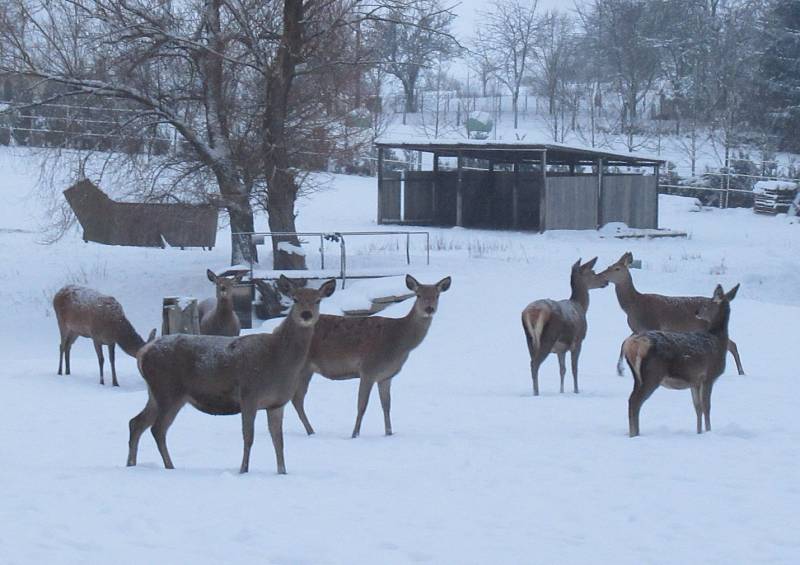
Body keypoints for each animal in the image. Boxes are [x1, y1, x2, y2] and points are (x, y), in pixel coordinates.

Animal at [128, 276, 334, 474]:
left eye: (318, 300)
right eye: (295, 299)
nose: (306, 314)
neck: (278, 359)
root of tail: (143, 353)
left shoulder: (277, 403)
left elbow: (279, 441)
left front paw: (282, 472)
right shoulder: (249, 394)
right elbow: (248, 437)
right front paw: (243, 470)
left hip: (155, 393)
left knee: (136, 422)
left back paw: (131, 464)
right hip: (169, 391)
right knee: (157, 429)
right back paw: (169, 467)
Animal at [290, 274, 454, 436]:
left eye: (437, 295)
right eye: (418, 295)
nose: (429, 309)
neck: (398, 341)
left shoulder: (386, 376)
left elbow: (386, 405)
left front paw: (389, 433)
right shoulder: (368, 369)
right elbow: (362, 405)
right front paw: (354, 434)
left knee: (297, 399)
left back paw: (310, 431)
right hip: (303, 366)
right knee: (297, 398)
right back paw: (311, 431)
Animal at [520, 258, 608, 394]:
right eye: (593, 272)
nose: (606, 282)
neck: (581, 306)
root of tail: (532, 312)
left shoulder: (561, 349)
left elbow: (562, 369)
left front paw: (561, 391)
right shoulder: (578, 341)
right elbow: (574, 368)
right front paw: (576, 391)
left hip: (529, 339)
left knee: (532, 362)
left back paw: (536, 391)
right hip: (548, 337)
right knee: (535, 364)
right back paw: (537, 393)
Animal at [600, 251, 744, 374]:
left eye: (617, 268)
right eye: (609, 266)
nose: (601, 275)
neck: (632, 306)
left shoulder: (651, 325)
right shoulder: (637, 329)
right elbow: (624, 343)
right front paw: (619, 369)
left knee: (732, 345)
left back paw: (741, 371)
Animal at [620, 282, 740, 436]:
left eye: (707, 304)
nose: (696, 312)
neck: (718, 341)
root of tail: (632, 345)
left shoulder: (695, 381)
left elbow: (698, 408)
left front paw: (699, 432)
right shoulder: (709, 375)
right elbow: (707, 407)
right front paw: (708, 431)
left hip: (638, 377)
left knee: (631, 400)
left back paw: (634, 433)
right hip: (652, 374)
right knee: (635, 402)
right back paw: (635, 434)